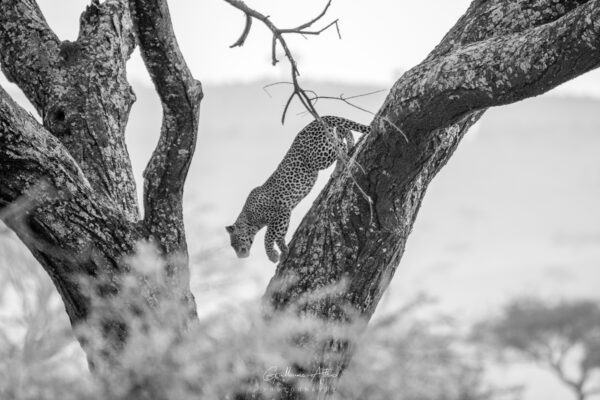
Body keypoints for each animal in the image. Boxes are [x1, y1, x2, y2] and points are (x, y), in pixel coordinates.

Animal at [226, 115, 370, 264]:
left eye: (234, 243)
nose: (240, 256)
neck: (249, 218)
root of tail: (321, 118)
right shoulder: (283, 218)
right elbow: (279, 236)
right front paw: (284, 251)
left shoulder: (280, 214)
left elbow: (268, 237)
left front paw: (272, 256)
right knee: (345, 131)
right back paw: (349, 150)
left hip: (319, 157)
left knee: (340, 146)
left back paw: (342, 160)